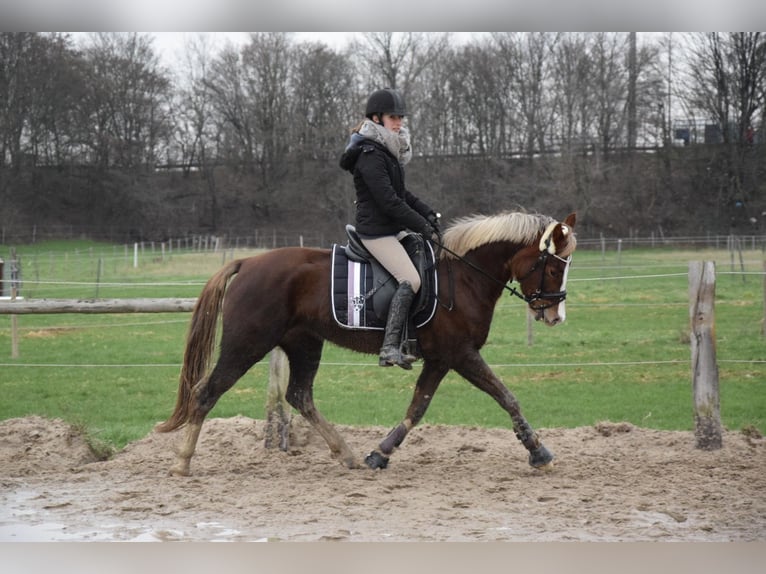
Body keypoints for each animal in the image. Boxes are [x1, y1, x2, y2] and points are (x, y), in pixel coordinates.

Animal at [158, 212, 576, 476]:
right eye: (555, 266)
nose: (555, 316)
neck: (463, 275)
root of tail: (247, 262)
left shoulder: (441, 359)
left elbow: (417, 408)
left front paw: (379, 454)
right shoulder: (460, 354)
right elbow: (506, 396)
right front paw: (539, 452)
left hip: (304, 344)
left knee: (300, 395)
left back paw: (346, 455)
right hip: (247, 344)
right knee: (207, 392)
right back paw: (182, 462)